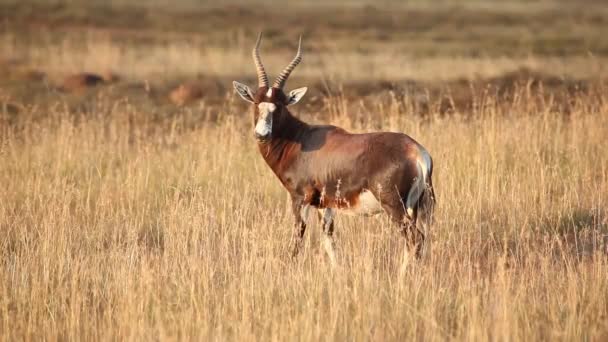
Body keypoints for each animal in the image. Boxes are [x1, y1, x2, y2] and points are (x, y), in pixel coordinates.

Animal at [230, 34, 434, 270]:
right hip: (416, 206)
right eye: (256, 103)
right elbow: (329, 241)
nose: (262, 134)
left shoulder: (300, 199)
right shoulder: (324, 204)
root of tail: (417, 153)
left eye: (279, 106)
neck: (302, 138)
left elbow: (297, 239)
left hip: (394, 206)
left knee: (415, 239)